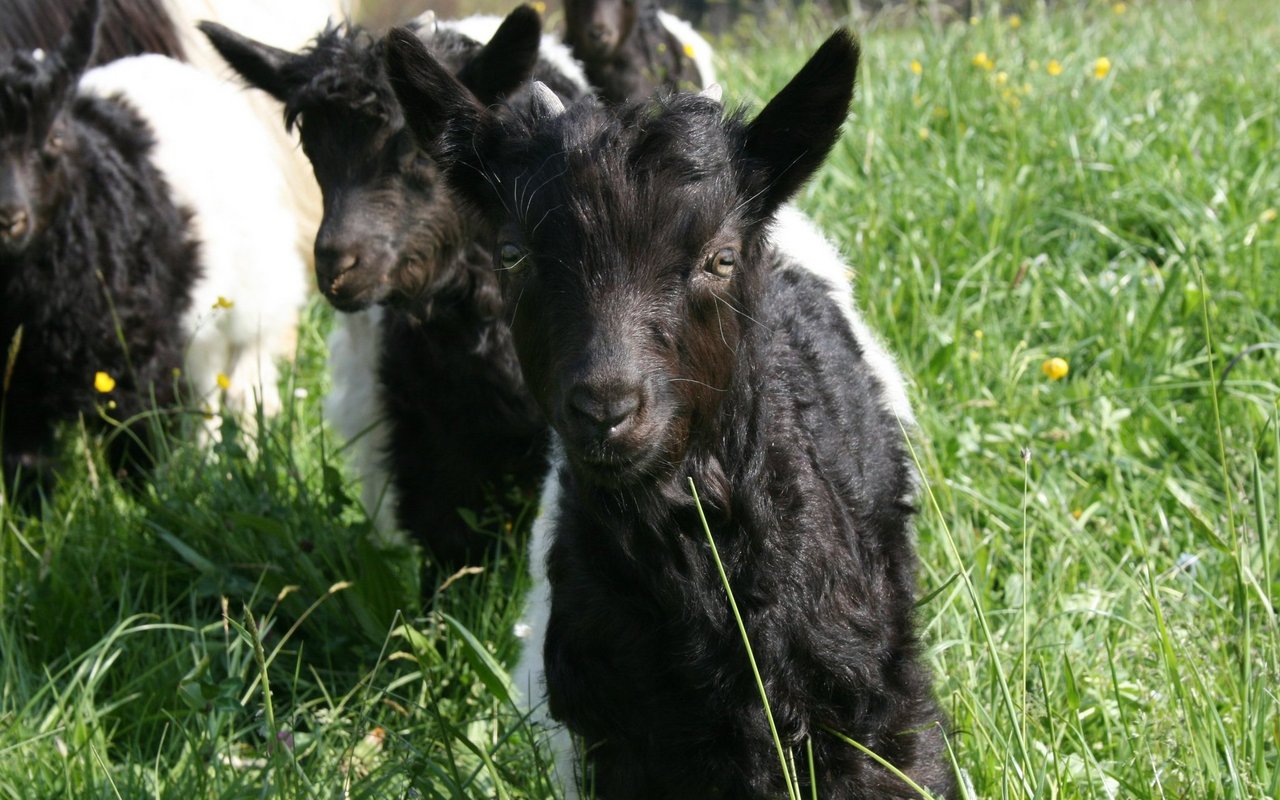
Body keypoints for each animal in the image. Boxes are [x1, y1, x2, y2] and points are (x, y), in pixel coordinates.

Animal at [1, 0, 198, 496]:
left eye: (53, 137)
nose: (9, 218)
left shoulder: (138, 365)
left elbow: (141, 450)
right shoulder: (11, 393)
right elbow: (25, 468)